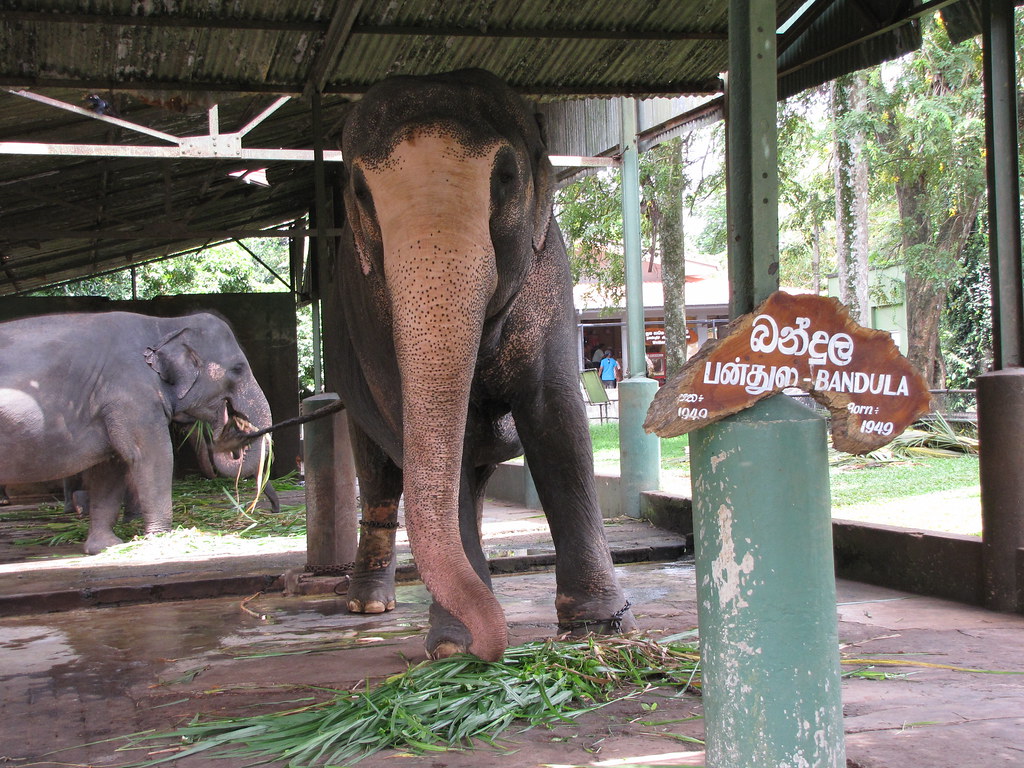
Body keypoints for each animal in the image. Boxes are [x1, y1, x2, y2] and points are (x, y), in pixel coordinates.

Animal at [0, 309, 272, 557]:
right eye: (238, 369)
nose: (234, 427)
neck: (166, 325)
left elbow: (111, 468)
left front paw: (106, 547)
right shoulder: (133, 395)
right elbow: (154, 456)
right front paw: (162, 540)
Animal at [323, 69, 634, 663]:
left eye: (507, 177)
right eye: (361, 192)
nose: (491, 649)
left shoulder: (549, 272)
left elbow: (557, 420)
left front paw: (601, 626)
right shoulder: (368, 318)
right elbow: (439, 439)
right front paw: (452, 646)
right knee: (378, 475)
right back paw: (368, 606)